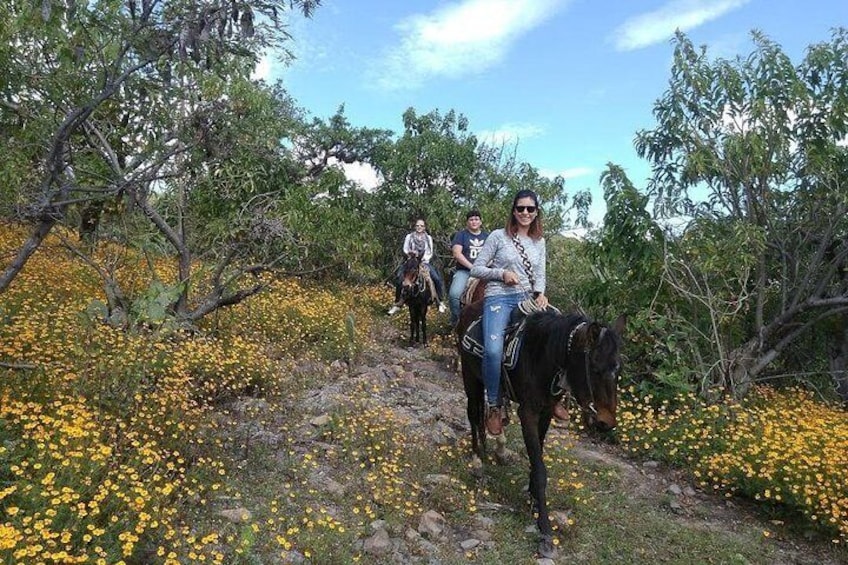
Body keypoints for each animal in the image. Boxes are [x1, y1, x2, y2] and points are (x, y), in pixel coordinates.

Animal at [454, 302, 628, 556]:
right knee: (474, 414)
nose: (606, 422)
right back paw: (477, 461)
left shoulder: (546, 412)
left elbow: (537, 458)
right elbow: (539, 469)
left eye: (618, 368)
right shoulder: (527, 413)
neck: (544, 356)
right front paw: (544, 529)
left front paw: (534, 501)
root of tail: (469, 307)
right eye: (595, 368)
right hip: (470, 376)